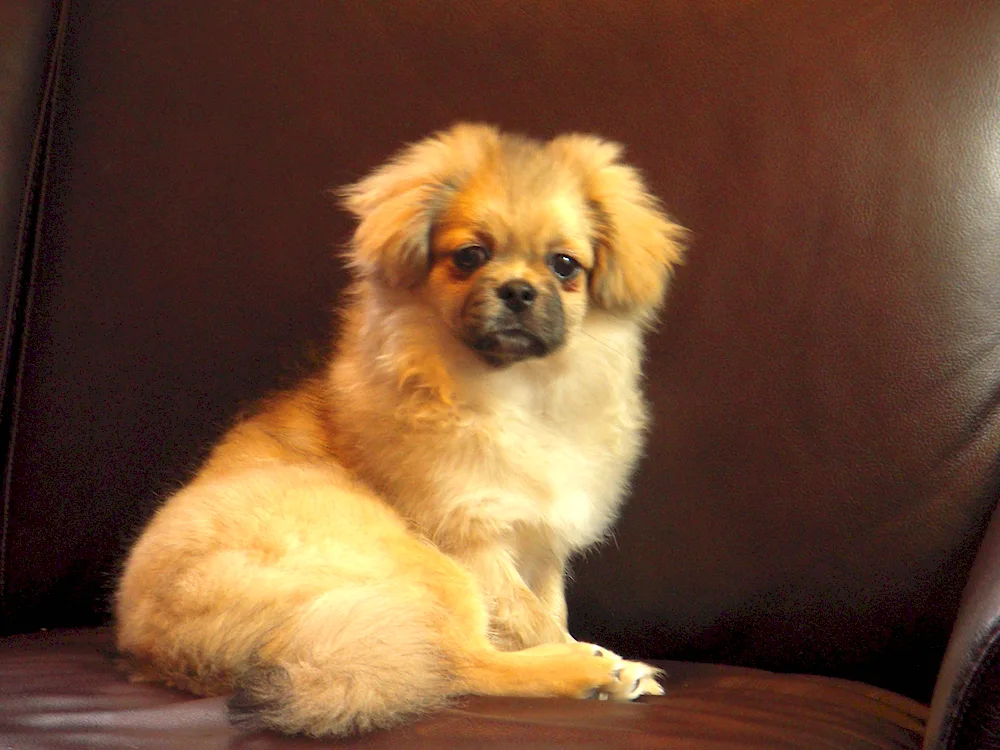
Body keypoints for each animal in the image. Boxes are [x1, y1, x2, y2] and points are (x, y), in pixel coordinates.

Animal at [111, 123, 688, 740]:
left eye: (564, 266)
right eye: (470, 257)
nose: (516, 290)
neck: (521, 395)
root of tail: (172, 653)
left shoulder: (540, 545)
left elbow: (549, 607)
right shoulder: (473, 538)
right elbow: (531, 620)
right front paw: (585, 655)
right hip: (421, 565)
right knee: (460, 663)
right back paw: (596, 673)